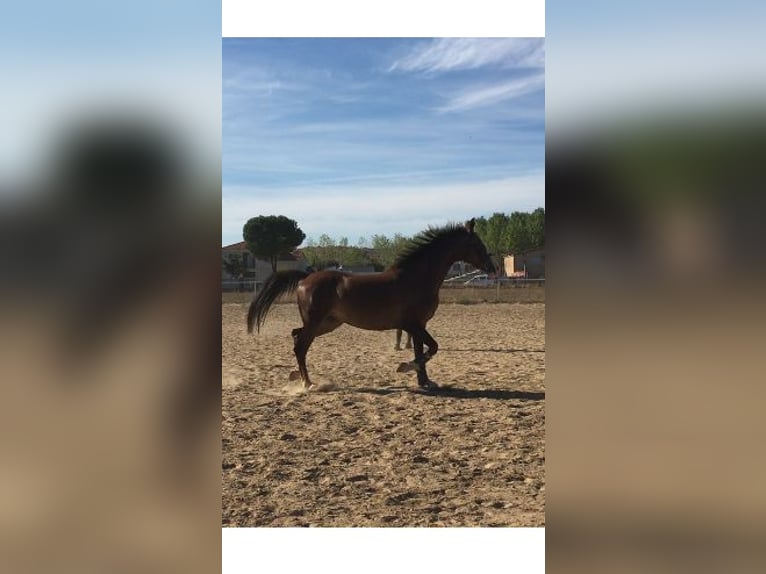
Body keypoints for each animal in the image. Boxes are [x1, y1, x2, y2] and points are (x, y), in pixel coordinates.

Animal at [247, 218, 495, 390]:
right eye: (477, 244)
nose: (492, 268)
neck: (416, 277)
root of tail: (306, 278)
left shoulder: (418, 326)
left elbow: (422, 351)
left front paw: (424, 382)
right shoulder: (413, 325)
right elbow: (432, 348)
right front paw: (405, 367)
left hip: (327, 323)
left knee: (296, 336)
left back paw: (297, 376)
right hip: (317, 322)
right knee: (300, 346)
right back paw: (308, 384)